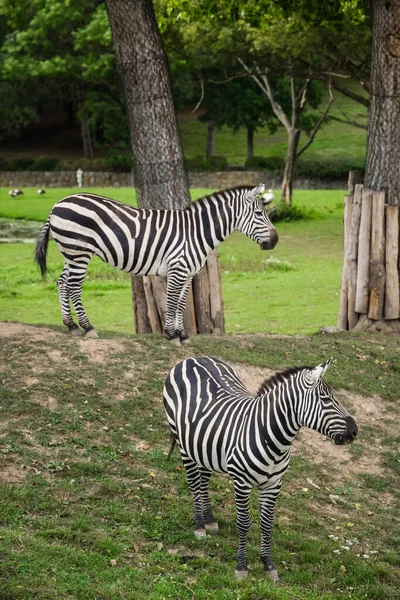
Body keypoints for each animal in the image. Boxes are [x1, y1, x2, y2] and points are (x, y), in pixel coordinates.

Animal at [34, 185, 278, 340]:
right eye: (259, 213)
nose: (275, 240)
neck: (196, 232)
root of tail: (57, 204)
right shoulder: (177, 269)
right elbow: (171, 302)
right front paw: (170, 334)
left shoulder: (188, 273)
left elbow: (181, 304)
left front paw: (182, 334)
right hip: (79, 251)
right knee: (74, 286)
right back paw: (87, 327)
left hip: (71, 253)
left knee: (62, 282)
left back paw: (71, 326)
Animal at [163, 356, 360, 580]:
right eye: (325, 399)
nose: (354, 431)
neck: (273, 440)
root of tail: (192, 358)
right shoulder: (242, 483)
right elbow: (244, 523)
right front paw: (241, 566)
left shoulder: (273, 484)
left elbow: (267, 524)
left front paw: (268, 564)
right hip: (184, 445)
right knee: (194, 484)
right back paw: (199, 525)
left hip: (203, 446)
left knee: (203, 481)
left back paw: (209, 520)